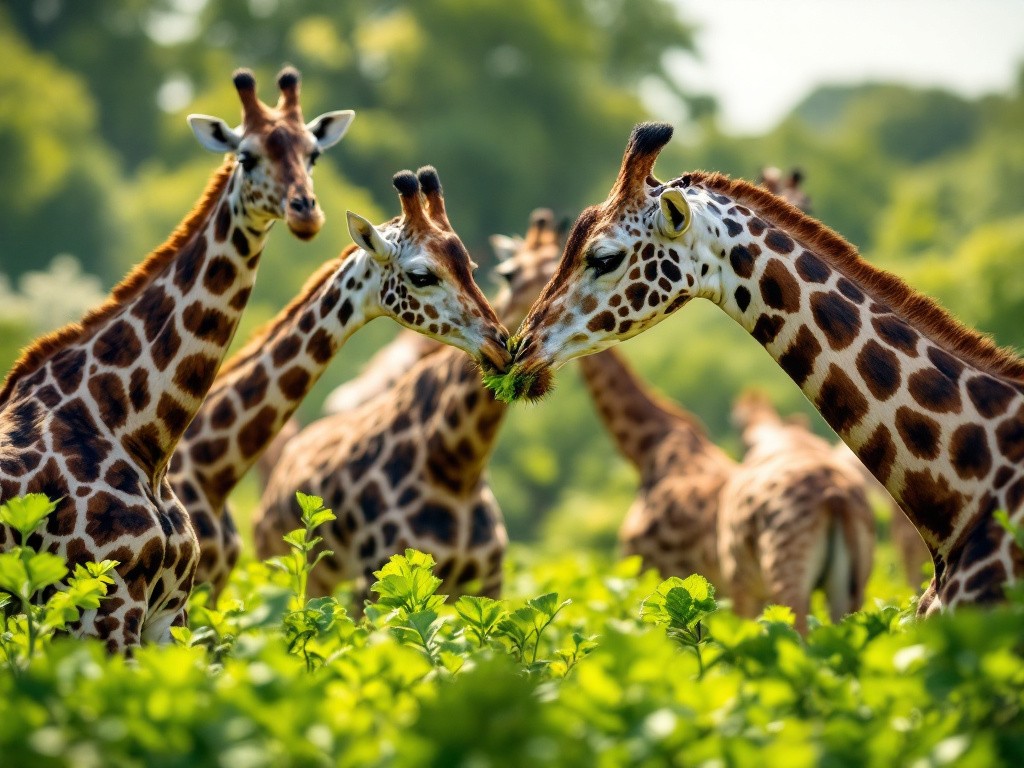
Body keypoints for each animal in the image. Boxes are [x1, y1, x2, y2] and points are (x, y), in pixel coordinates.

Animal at [0, 67, 356, 651]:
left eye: (313, 154)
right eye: (246, 155)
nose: (305, 212)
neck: (130, 429)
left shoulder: (169, 610)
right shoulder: (105, 605)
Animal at [252, 208, 565, 602]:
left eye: (560, 265)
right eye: (508, 273)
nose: (514, 343)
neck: (457, 467)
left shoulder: (487, 582)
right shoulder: (381, 576)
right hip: (288, 568)